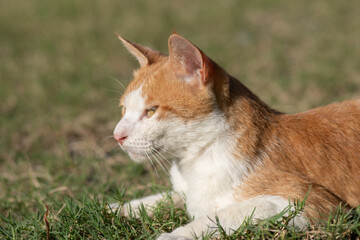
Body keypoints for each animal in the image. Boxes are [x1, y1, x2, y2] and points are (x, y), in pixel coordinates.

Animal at [112, 32, 360, 239]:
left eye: (151, 110)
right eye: (123, 109)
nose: (117, 135)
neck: (195, 160)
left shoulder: (312, 204)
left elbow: (218, 216)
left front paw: (173, 235)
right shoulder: (186, 193)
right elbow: (162, 198)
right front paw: (116, 207)